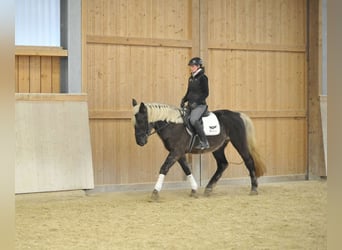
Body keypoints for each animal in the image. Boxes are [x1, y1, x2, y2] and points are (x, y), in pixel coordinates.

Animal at [132, 98, 268, 200]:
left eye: (142, 120)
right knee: (223, 164)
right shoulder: (178, 152)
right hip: (218, 147)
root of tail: (238, 114)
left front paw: (155, 192)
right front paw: (194, 190)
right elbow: (187, 169)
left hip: (239, 143)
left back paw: (254, 189)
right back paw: (208, 189)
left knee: (248, 161)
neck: (172, 124)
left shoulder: (176, 152)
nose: (140, 142)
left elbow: (164, 168)